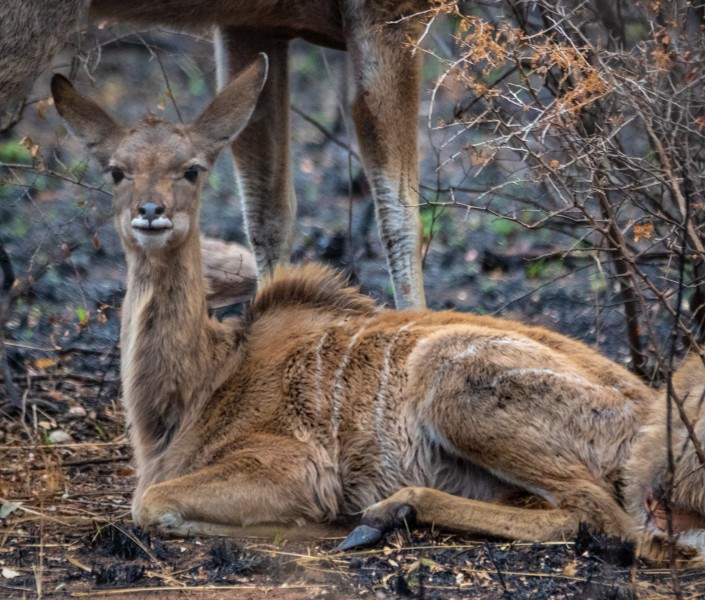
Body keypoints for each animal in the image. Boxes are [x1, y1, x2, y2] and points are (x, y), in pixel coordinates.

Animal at [4, 0, 428, 310]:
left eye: (194, 171)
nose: (151, 210)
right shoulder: (387, 10)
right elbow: (401, 218)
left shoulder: (253, 23)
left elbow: (267, 215)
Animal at [51, 58, 704, 564]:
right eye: (116, 171)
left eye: (192, 169)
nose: (151, 212)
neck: (202, 380)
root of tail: (646, 419)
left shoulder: (295, 464)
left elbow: (150, 503)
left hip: (455, 385)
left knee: (598, 515)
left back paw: (385, 513)